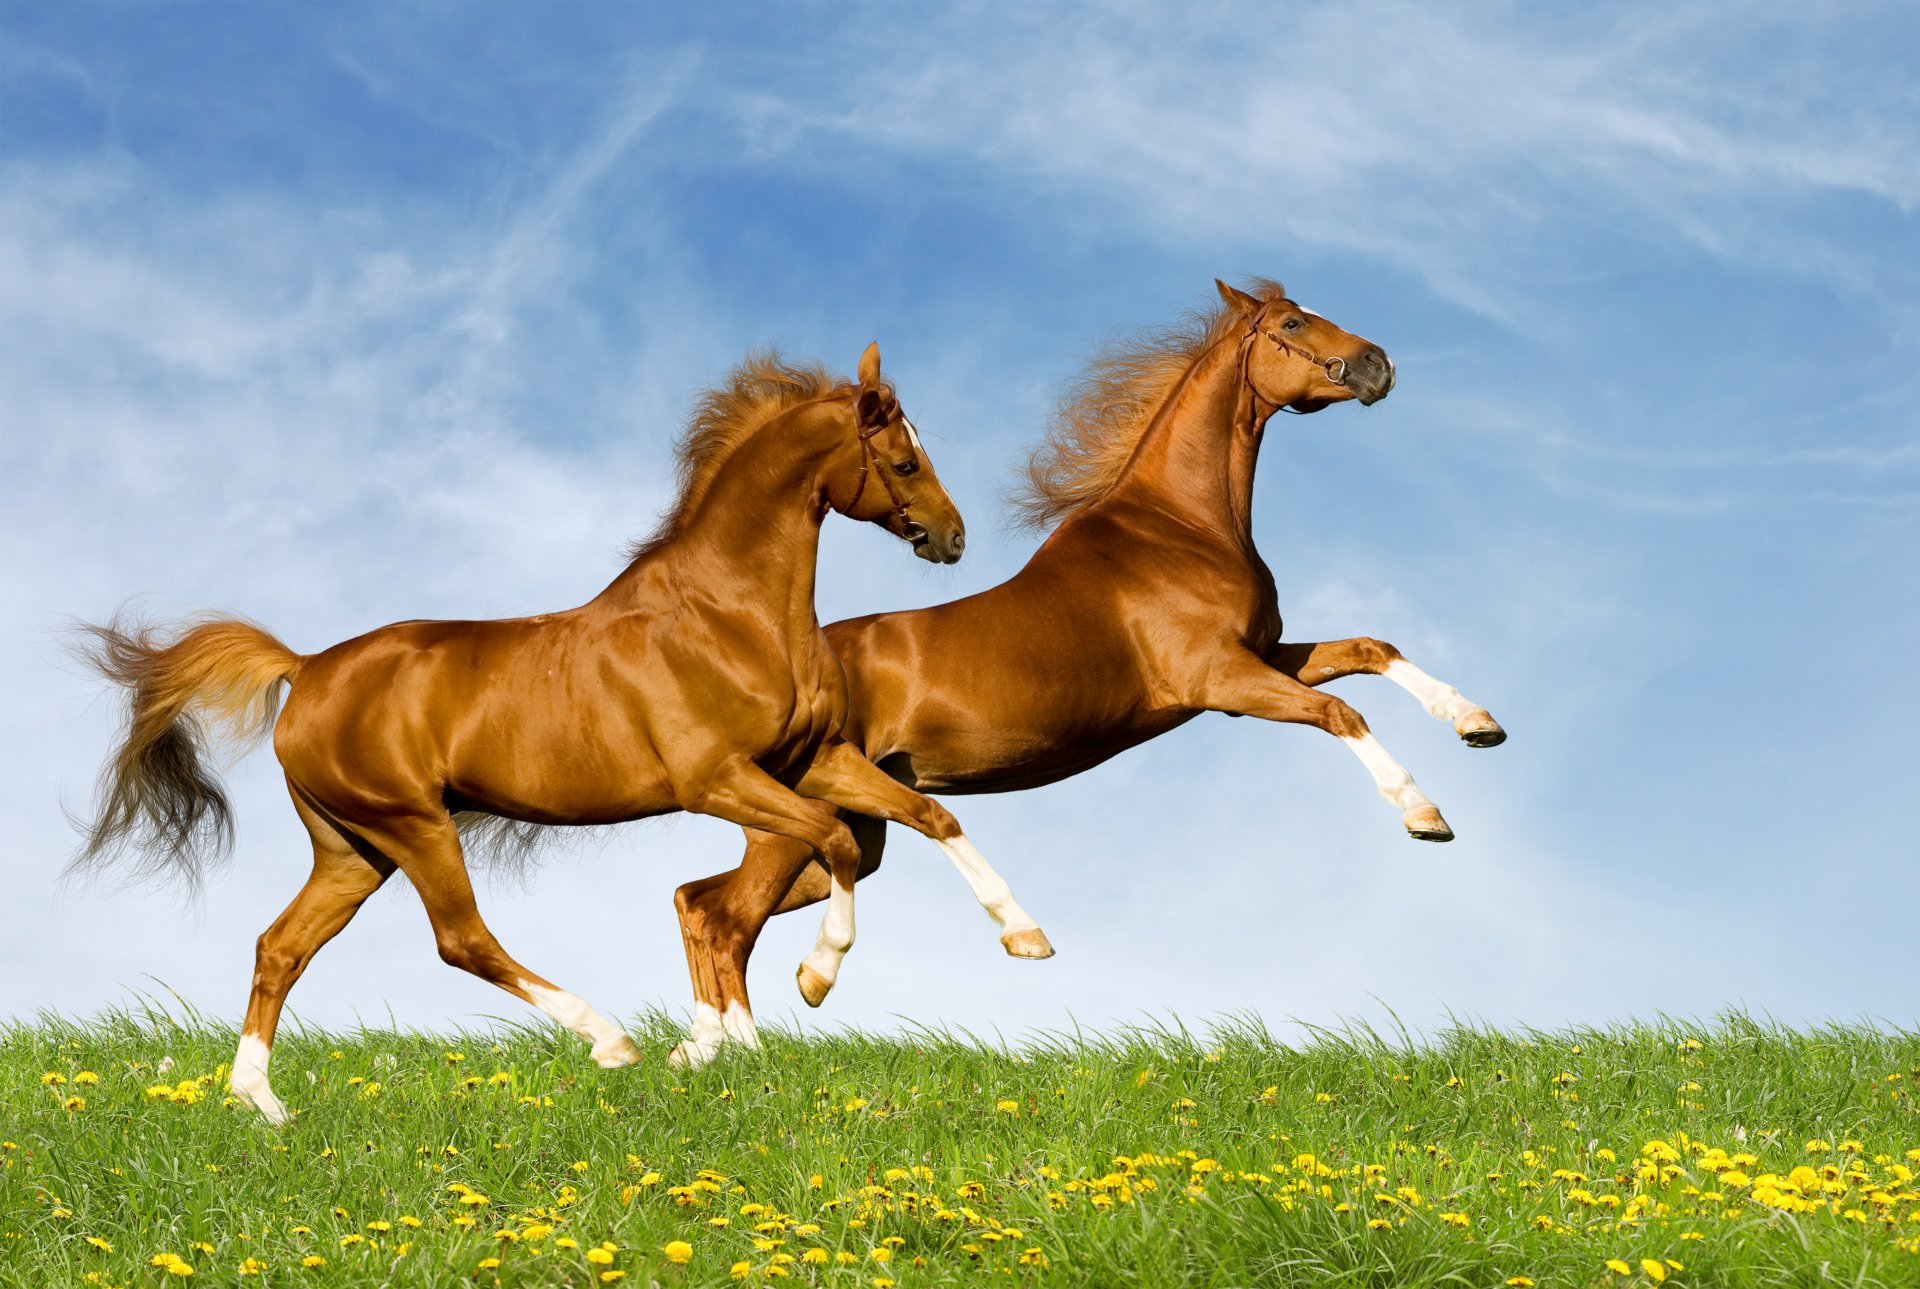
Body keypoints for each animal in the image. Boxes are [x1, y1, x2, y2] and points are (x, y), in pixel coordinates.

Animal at [69, 343, 1051, 1123]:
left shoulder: (812, 760)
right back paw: (608, 1038)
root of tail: (305, 667)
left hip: (352, 847)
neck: (729, 613)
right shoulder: (717, 778)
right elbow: (833, 844)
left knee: (281, 947)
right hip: (412, 824)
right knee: (461, 939)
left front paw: (1025, 937)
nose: (953, 538)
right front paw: (810, 982)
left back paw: (262, 1103)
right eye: (904, 460)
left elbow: (930, 816)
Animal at [666, 280, 1505, 1067]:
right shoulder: (1223, 681)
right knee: (724, 919)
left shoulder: (1265, 655)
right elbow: (1342, 715)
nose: (1377, 364)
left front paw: (1477, 722)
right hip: (801, 827)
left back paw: (700, 1046)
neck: (1181, 527)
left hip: (845, 833)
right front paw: (1424, 814)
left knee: (699, 901)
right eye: (1293, 323)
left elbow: (1372, 649)